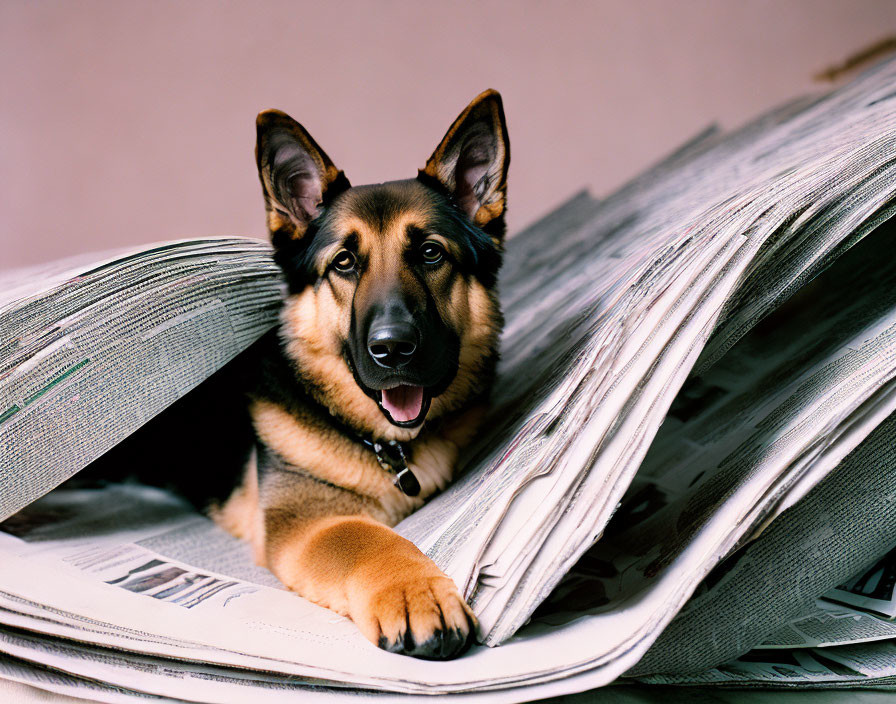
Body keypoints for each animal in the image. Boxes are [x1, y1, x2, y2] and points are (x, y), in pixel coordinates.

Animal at [213, 89, 508, 660]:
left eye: (431, 252)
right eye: (344, 263)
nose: (392, 349)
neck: (391, 448)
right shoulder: (307, 522)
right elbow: (364, 536)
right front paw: (412, 590)